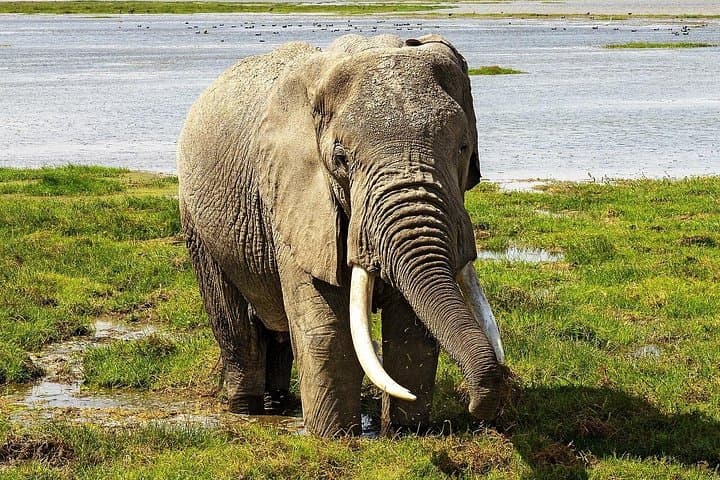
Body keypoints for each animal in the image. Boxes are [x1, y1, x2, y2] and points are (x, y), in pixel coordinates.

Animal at [177, 33, 506, 437]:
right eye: (341, 159)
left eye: (463, 148)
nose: (480, 410)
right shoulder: (293, 199)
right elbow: (326, 327)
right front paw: (335, 438)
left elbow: (411, 327)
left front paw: (408, 433)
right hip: (197, 220)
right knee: (233, 322)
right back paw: (246, 408)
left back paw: (279, 404)